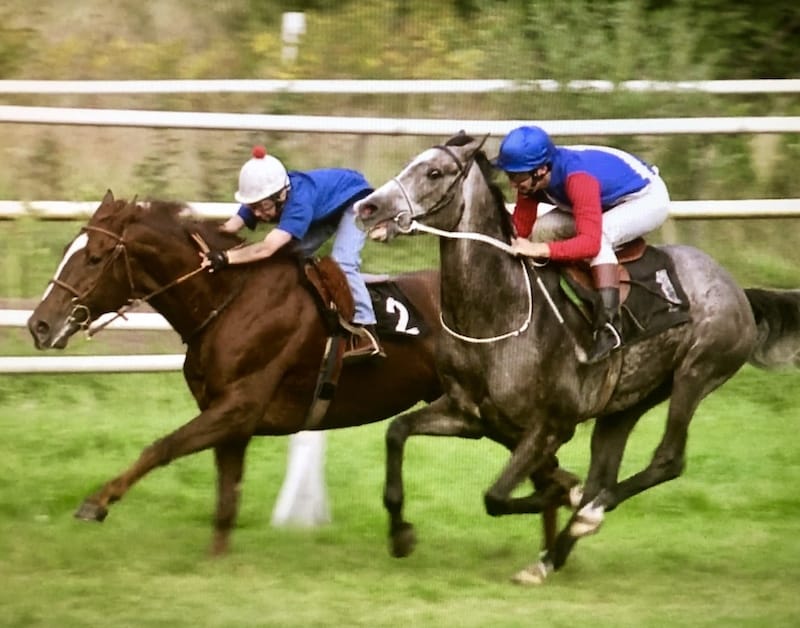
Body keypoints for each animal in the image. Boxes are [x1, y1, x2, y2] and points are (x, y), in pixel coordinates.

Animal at [26, 191, 444, 556]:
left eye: (94, 258)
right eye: (68, 251)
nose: (39, 325)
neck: (230, 300)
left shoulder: (237, 407)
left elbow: (161, 447)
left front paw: (96, 502)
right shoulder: (230, 419)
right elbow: (227, 497)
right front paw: (217, 559)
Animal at [354, 132, 800, 584]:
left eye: (434, 172)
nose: (367, 207)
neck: (498, 312)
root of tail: (738, 290)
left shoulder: (550, 426)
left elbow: (498, 496)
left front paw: (565, 492)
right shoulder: (469, 414)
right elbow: (396, 432)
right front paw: (400, 534)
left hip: (697, 372)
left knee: (666, 460)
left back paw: (588, 515)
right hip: (627, 403)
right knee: (606, 470)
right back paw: (550, 558)